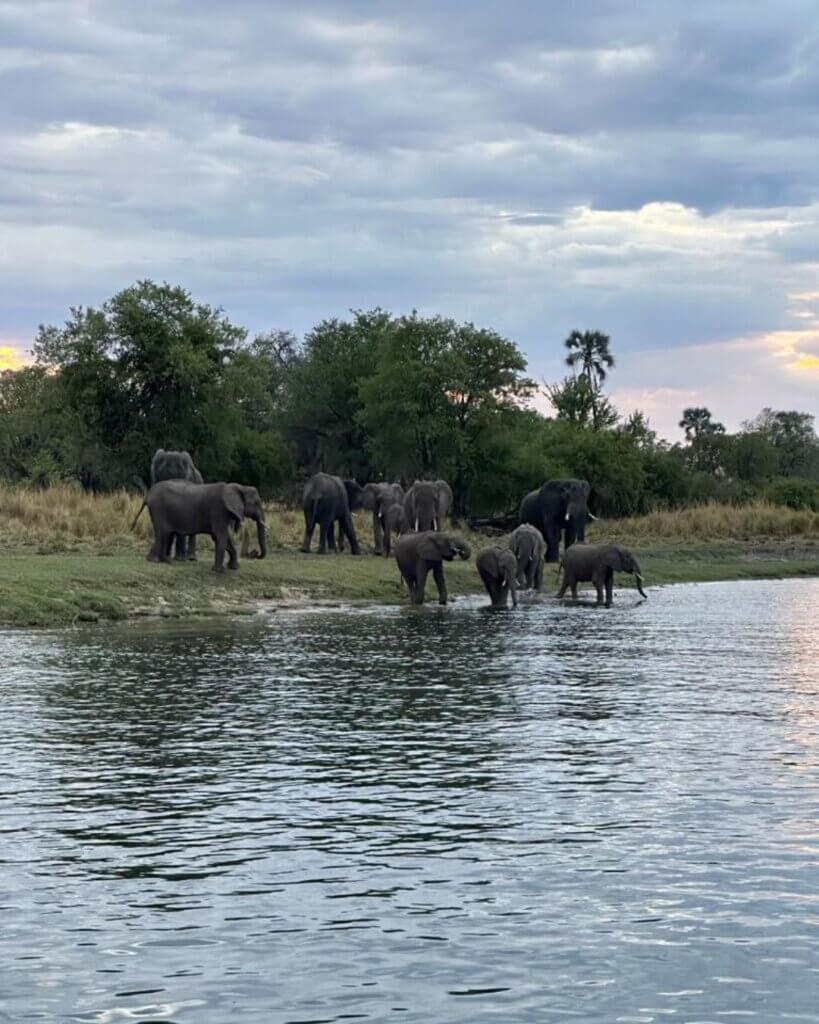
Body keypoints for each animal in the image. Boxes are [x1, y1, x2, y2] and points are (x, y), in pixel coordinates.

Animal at [131, 481, 266, 573]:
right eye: (256, 503)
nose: (255, 554)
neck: (238, 487)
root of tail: (148, 495)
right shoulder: (218, 510)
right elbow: (221, 536)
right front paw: (219, 571)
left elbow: (223, 538)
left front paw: (234, 568)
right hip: (159, 509)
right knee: (162, 533)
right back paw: (154, 560)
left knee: (166, 534)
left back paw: (164, 560)